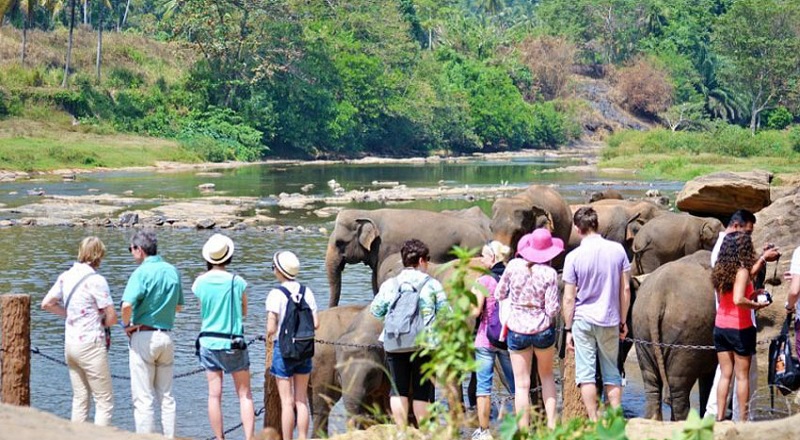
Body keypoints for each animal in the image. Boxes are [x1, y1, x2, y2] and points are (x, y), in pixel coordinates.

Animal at [324, 209, 488, 306]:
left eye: (339, 243)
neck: (368, 214)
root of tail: (484, 235)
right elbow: (374, 280)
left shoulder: (385, 247)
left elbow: (378, 279)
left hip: (470, 248)